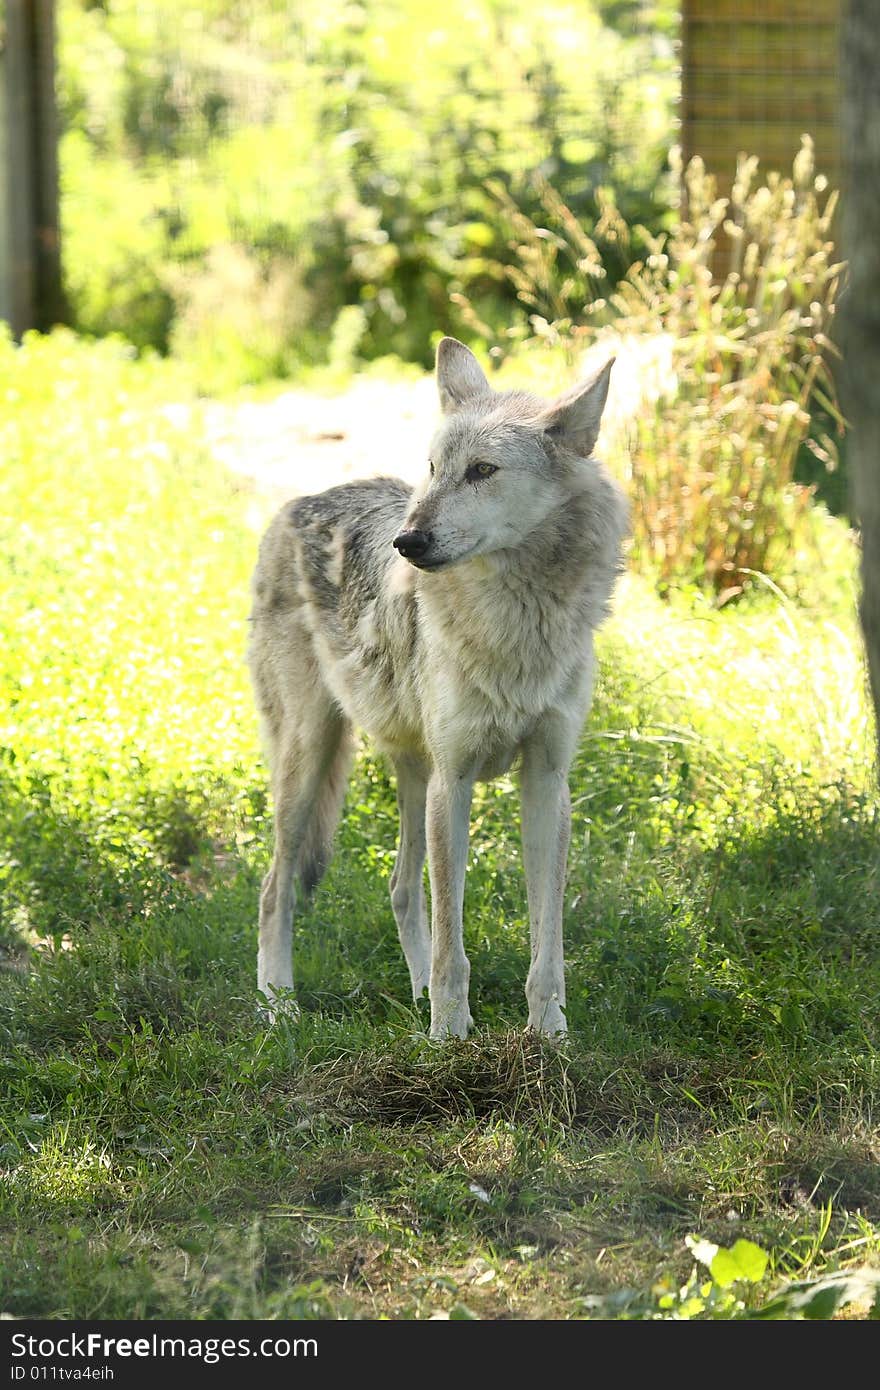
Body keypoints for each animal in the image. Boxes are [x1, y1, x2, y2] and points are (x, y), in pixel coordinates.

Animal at [247, 339, 625, 1034]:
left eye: (481, 471)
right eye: (432, 468)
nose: (408, 541)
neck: (517, 622)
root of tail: (298, 502)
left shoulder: (546, 780)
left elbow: (547, 940)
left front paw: (549, 1035)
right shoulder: (456, 779)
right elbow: (455, 938)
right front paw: (450, 1036)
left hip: (413, 775)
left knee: (399, 888)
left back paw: (415, 989)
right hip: (310, 761)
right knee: (273, 888)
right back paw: (279, 1004)